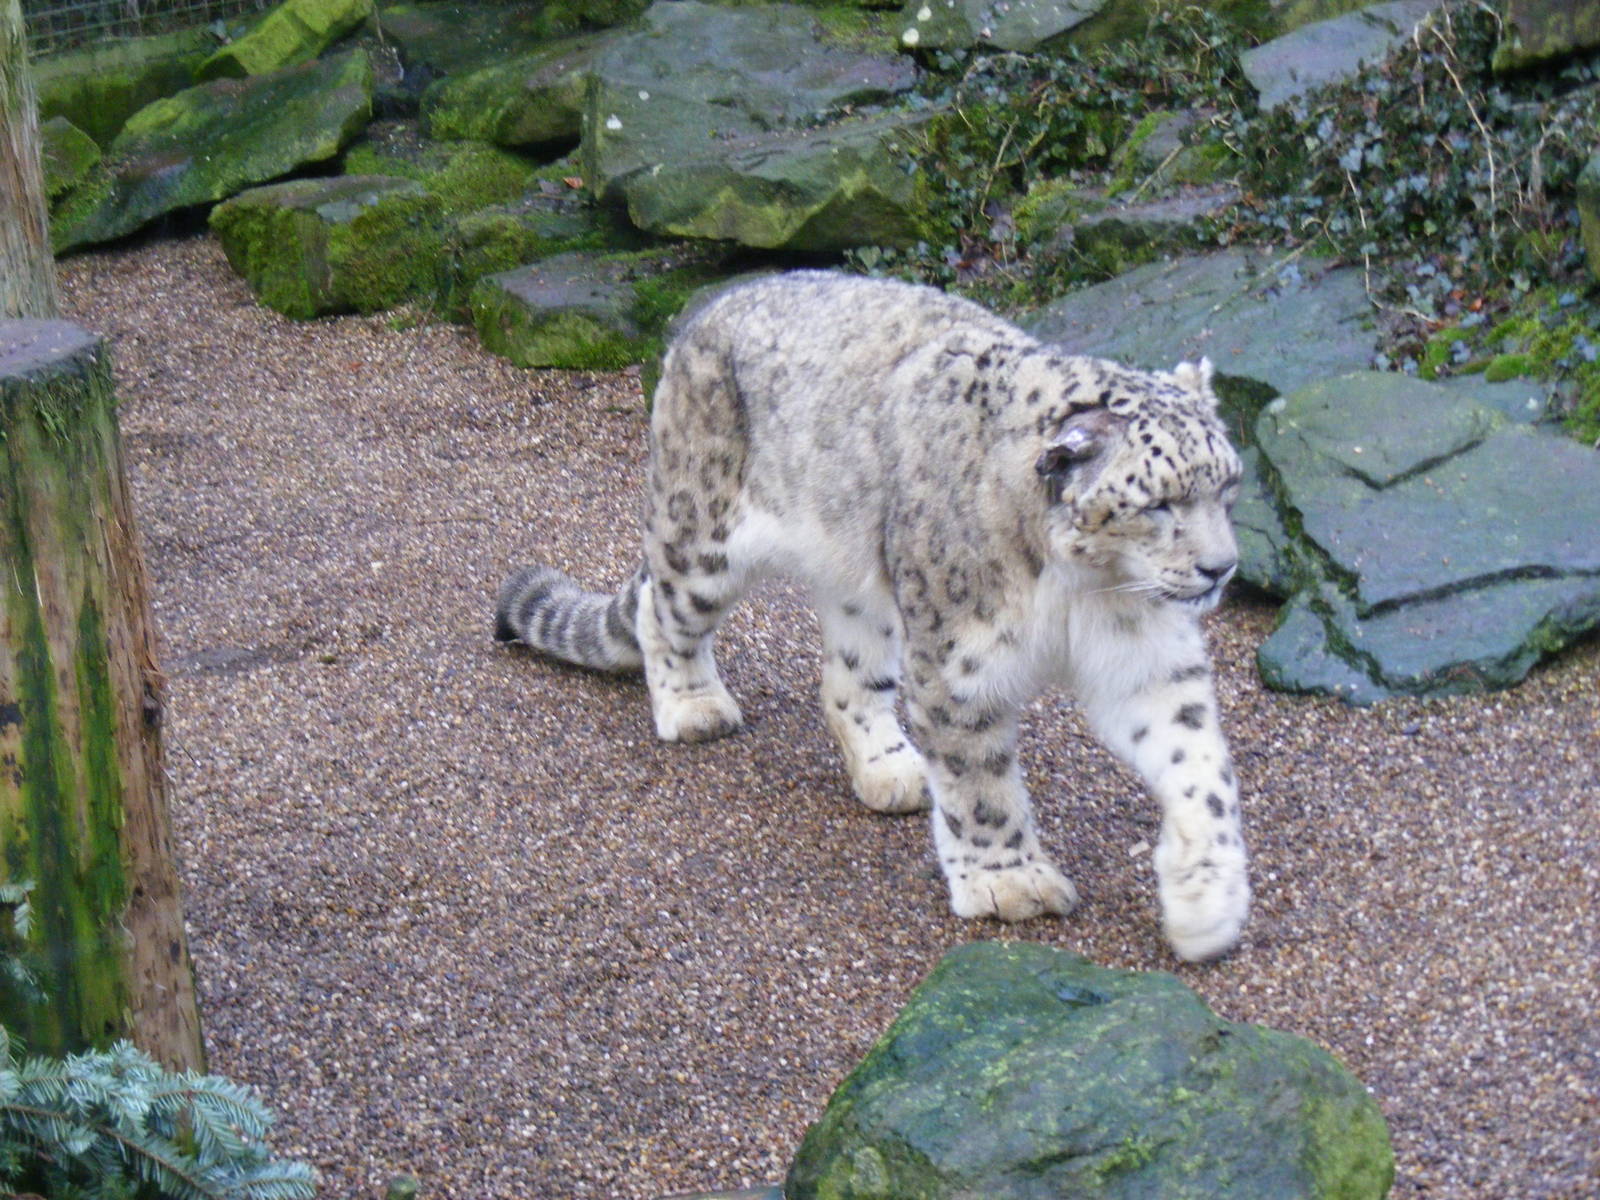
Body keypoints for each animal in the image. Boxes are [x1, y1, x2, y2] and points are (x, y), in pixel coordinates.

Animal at [494, 270, 1250, 962]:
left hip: (863, 588)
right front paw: (1011, 883)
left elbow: (1198, 764)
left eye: (1229, 487)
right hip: (703, 536)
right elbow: (982, 785)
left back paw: (891, 768)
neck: (1085, 590)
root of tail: (702, 320)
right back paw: (693, 705)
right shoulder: (960, 664)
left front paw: (1206, 900)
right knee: (662, 606)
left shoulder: (1147, 657)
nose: (1222, 568)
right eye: (1159, 503)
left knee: (848, 677)